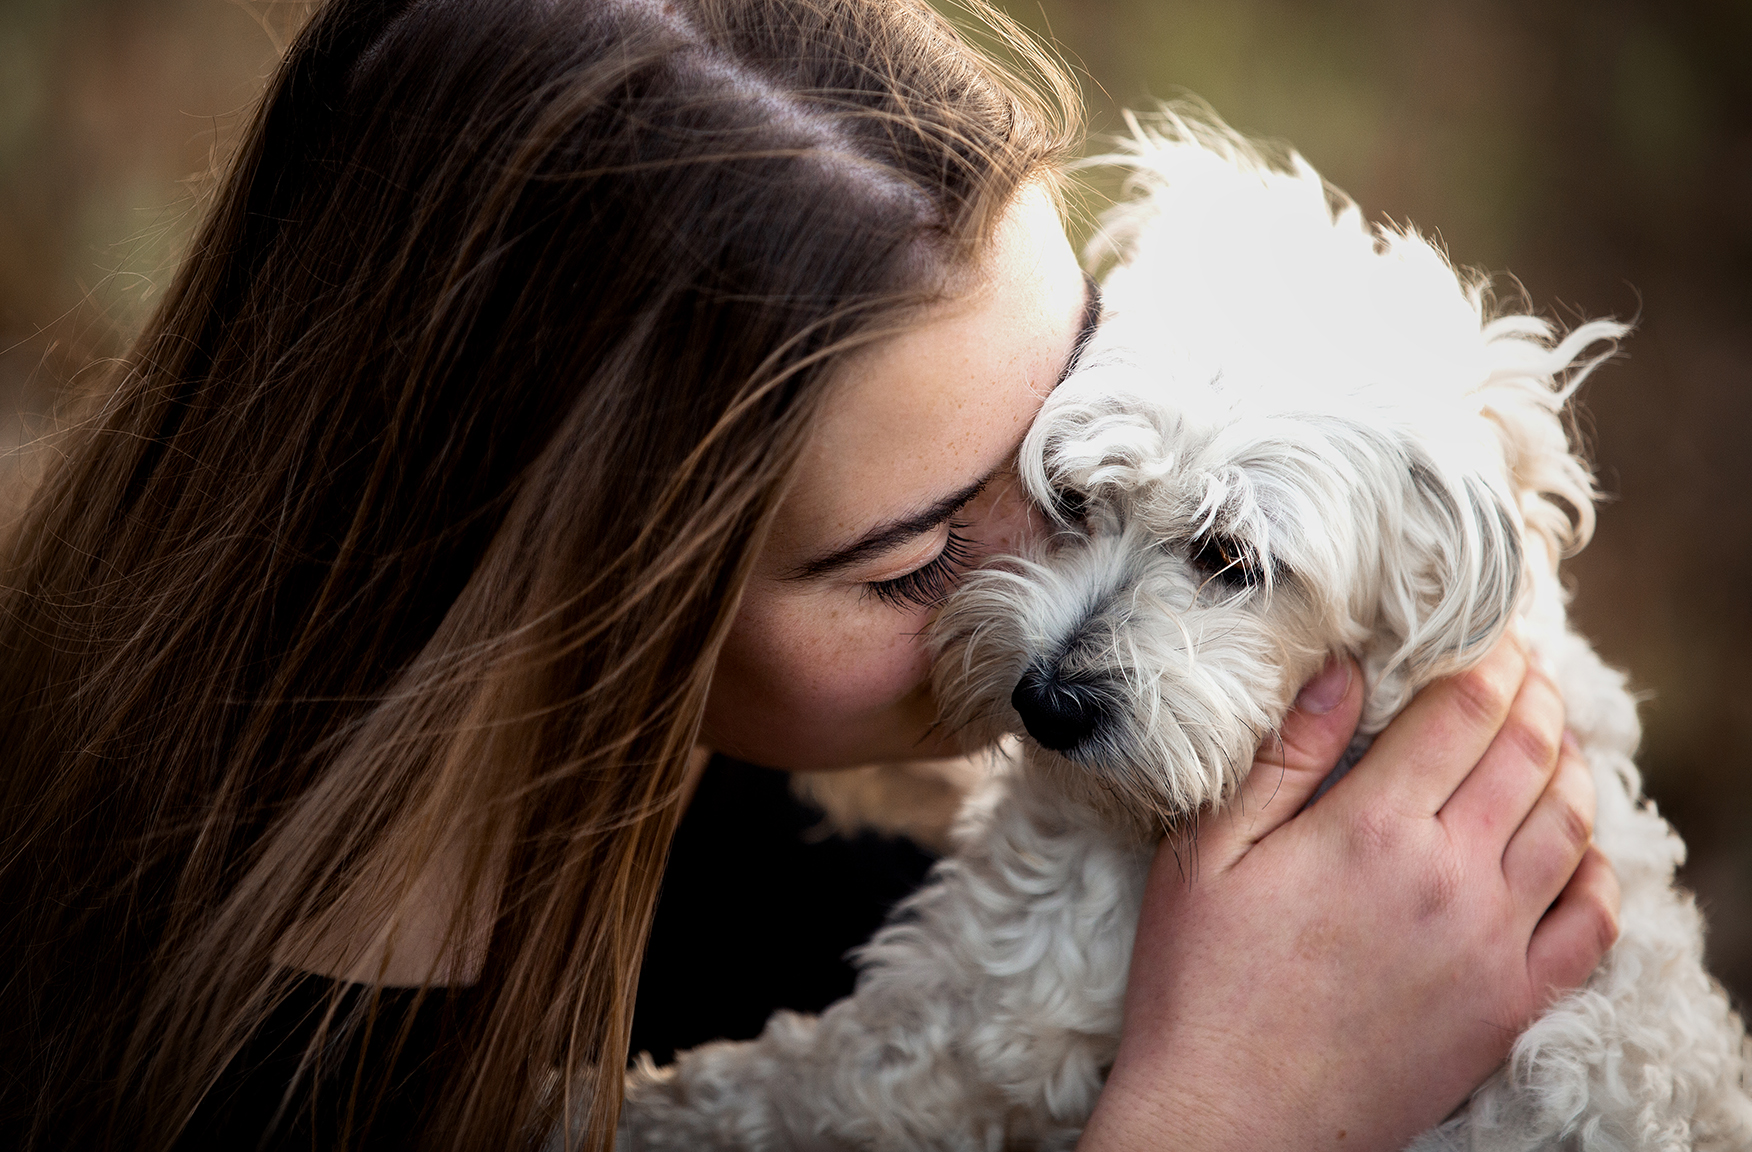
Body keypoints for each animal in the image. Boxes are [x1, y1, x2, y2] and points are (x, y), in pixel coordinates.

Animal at [620, 109, 1752, 1148]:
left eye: (1232, 560)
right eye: (1072, 496)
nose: (1049, 703)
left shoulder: (995, 1011)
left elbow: (787, 1085)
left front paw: (641, 1105)